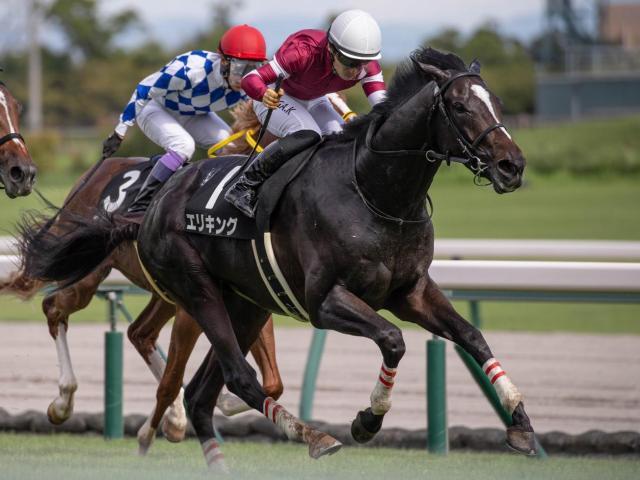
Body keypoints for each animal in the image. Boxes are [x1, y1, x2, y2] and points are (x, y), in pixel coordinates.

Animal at [18, 48, 536, 468]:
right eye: (460, 106)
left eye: (497, 104)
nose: (512, 165)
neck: (373, 192)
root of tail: (151, 207)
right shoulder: (325, 301)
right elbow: (392, 340)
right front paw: (368, 418)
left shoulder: (412, 292)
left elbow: (472, 336)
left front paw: (521, 423)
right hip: (195, 290)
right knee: (231, 374)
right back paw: (312, 436)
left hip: (245, 304)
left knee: (201, 389)